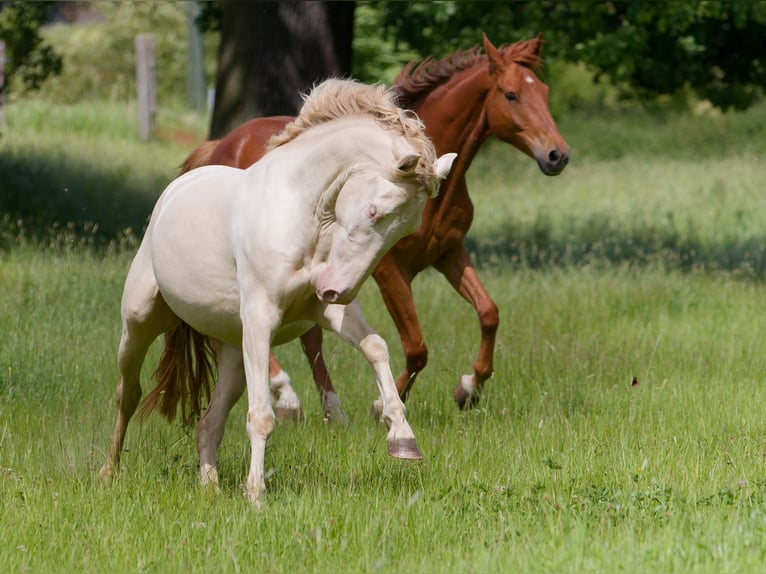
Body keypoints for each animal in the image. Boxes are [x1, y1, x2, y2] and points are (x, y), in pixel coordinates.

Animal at [96, 80, 456, 504]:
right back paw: (108, 472)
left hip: (234, 353)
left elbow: (376, 347)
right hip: (140, 323)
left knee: (209, 422)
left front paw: (402, 437)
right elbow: (263, 417)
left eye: (406, 228)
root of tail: (177, 187)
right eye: (375, 212)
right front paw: (256, 494)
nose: (339, 289)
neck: (303, 213)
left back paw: (210, 487)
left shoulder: (328, 312)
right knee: (129, 393)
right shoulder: (261, 318)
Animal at [184, 35, 568, 424]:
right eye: (511, 95)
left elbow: (489, 313)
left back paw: (333, 411)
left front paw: (468, 389)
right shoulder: (390, 271)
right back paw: (288, 398)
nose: (558, 155)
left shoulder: (449, 253)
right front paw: (383, 405)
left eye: (545, 92)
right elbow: (417, 347)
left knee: (310, 338)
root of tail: (221, 145)